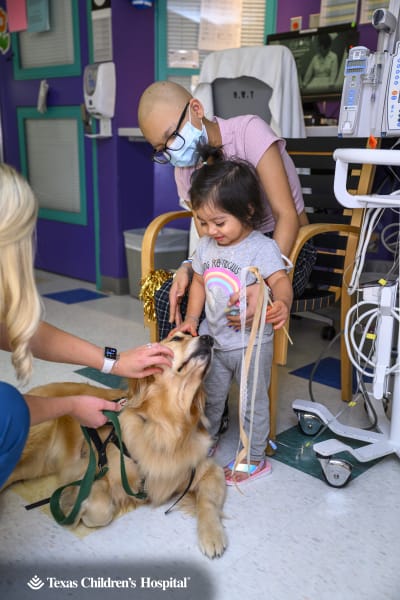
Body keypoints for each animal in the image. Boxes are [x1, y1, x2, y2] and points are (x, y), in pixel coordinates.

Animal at [3, 332, 227, 556]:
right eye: (178, 337)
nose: (209, 339)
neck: (167, 425)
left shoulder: (207, 470)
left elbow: (208, 501)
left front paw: (212, 535)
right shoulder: (94, 469)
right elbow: (101, 509)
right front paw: (74, 507)